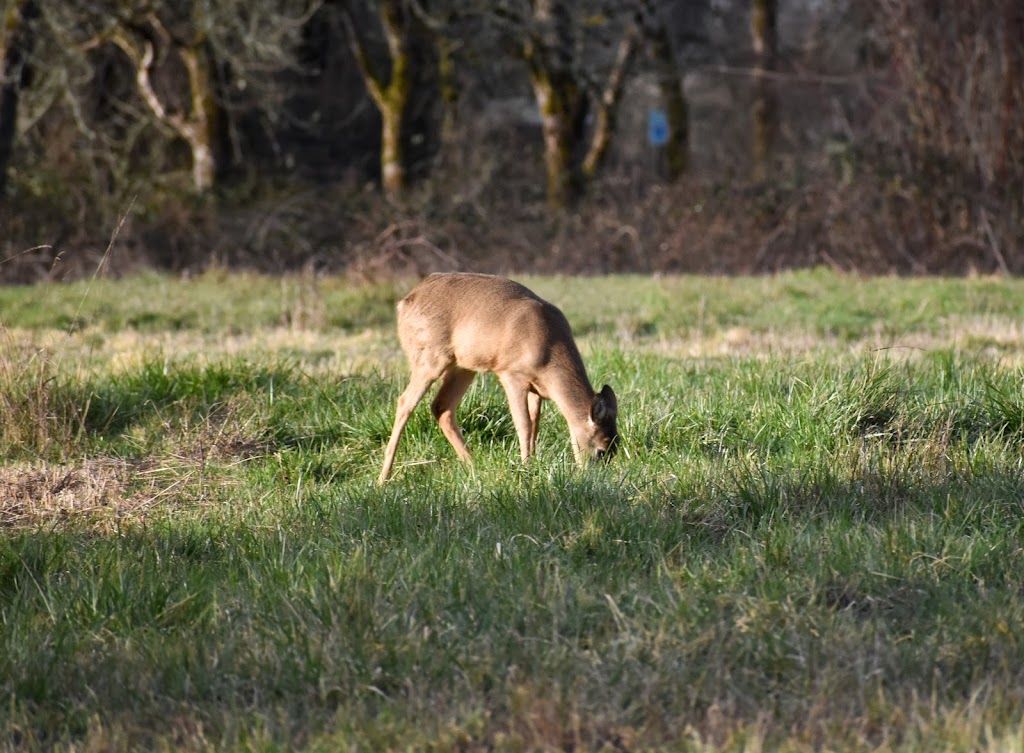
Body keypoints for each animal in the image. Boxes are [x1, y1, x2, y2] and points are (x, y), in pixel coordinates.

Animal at [376, 274, 614, 485]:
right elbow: (524, 424)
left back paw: (473, 466)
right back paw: (383, 478)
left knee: (441, 407)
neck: (549, 352)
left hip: (463, 366)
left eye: (615, 446)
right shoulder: (511, 374)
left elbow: (535, 424)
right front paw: (526, 468)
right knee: (405, 402)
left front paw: (533, 461)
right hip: (430, 358)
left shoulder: (536, 389)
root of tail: (404, 303)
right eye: (601, 450)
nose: (595, 478)